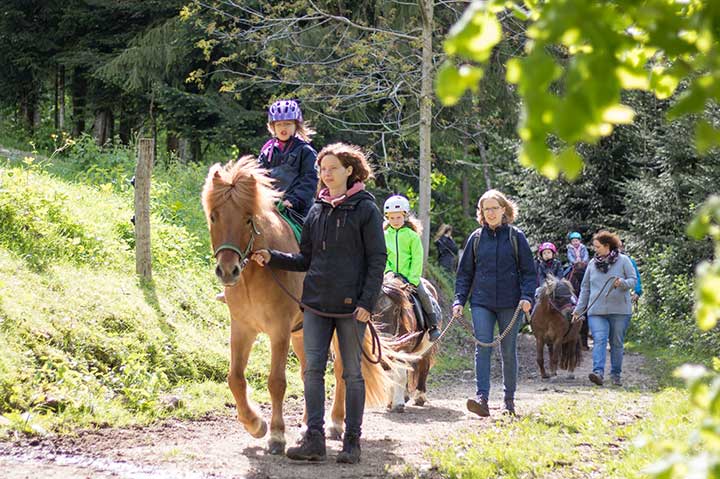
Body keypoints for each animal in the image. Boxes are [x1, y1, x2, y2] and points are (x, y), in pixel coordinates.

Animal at [374, 276, 442, 414]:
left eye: (396, 309)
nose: (385, 338)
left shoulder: (403, 349)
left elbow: (400, 375)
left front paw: (398, 404)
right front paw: (390, 403)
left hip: (427, 348)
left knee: (423, 366)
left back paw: (419, 397)